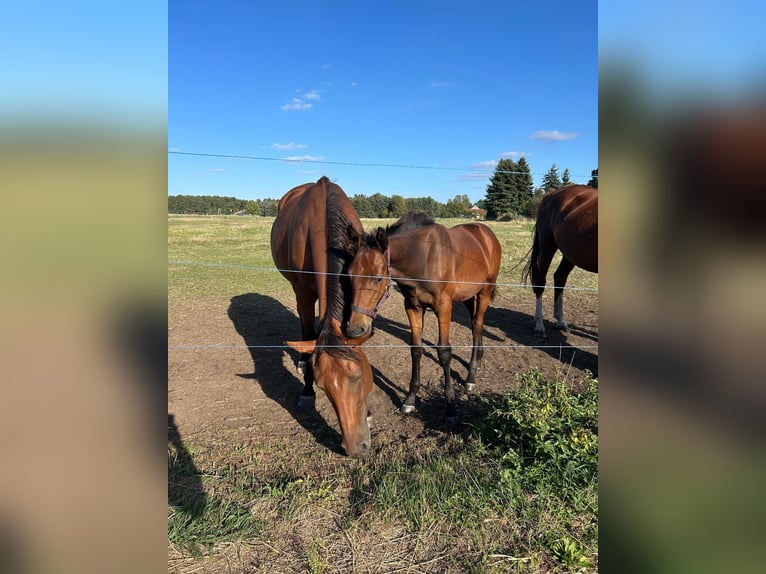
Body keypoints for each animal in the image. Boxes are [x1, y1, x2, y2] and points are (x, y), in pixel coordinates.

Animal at [273, 176, 374, 458]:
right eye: (322, 385)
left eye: (357, 377)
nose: (356, 448)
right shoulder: (304, 293)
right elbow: (309, 334)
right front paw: (306, 391)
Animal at [343, 212, 502, 421]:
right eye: (349, 275)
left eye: (378, 278)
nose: (355, 328)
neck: (422, 258)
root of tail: (487, 234)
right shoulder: (413, 306)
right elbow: (416, 349)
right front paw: (410, 400)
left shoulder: (444, 306)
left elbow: (444, 352)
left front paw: (450, 406)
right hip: (468, 295)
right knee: (476, 321)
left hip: (484, 291)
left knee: (477, 325)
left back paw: (471, 377)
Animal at [521, 185, 598, 338]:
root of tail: (552, 194)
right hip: (547, 247)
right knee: (541, 282)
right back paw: (539, 326)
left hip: (571, 253)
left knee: (560, 277)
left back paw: (560, 320)